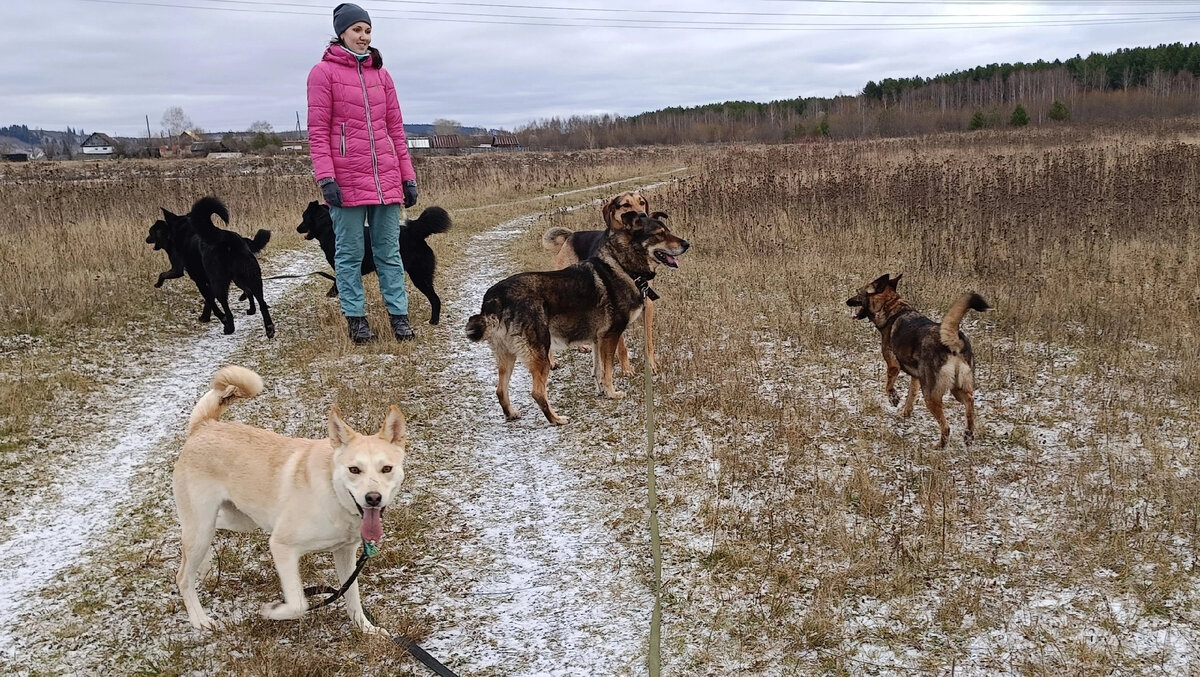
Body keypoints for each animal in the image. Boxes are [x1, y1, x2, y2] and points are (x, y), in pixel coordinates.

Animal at [174, 364, 408, 633]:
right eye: (354, 470)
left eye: (386, 469)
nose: (373, 498)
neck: (332, 493)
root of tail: (204, 426)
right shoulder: (281, 546)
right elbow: (298, 604)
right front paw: (272, 611)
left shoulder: (345, 552)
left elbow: (352, 597)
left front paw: (366, 629)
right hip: (202, 528)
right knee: (183, 576)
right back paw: (199, 620)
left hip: (240, 520)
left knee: (208, 531)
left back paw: (205, 567)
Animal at [297, 199, 451, 324]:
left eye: (304, 217)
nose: (297, 228)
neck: (328, 229)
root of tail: (416, 232)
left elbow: (338, 284)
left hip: (419, 274)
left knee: (434, 298)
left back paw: (433, 321)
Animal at [470, 210, 696, 422]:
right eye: (659, 234)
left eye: (667, 230)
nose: (686, 244)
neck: (623, 267)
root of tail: (495, 298)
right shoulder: (610, 335)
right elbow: (608, 370)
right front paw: (612, 393)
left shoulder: (597, 338)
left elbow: (598, 369)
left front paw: (602, 391)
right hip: (539, 351)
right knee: (537, 392)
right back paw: (556, 419)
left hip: (506, 355)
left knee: (500, 390)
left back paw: (511, 413)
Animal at [542, 190, 662, 372]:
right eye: (626, 205)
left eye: (642, 202)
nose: (643, 215)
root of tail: (571, 236)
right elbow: (621, 346)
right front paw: (626, 369)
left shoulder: (647, 302)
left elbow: (649, 341)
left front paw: (652, 366)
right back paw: (551, 361)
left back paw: (582, 346)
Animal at [844, 272, 993, 446]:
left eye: (858, 292)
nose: (847, 301)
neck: (892, 308)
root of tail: (953, 343)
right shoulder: (916, 377)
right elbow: (911, 396)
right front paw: (905, 413)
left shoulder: (893, 364)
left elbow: (888, 385)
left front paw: (894, 398)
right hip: (958, 387)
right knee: (970, 402)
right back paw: (968, 434)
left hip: (930, 393)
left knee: (946, 426)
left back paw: (939, 446)